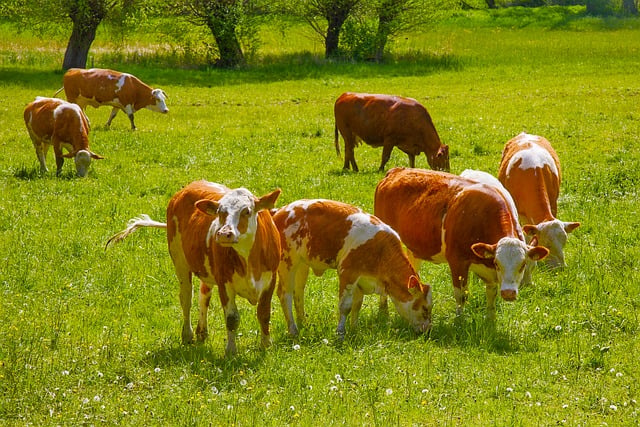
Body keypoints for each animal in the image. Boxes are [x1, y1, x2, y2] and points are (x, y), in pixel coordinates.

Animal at [106, 181, 282, 356]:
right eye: (220, 212)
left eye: (247, 211)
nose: (223, 233)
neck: (248, 258)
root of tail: (189, 186)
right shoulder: (224, 282)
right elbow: (232, 319)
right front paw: (231, 351)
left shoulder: (270, 279)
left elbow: (264, 314)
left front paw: (266, 345)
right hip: (179, 260)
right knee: (186, 299)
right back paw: (188, 335)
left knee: (203, 295)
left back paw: (202, 332)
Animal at [272, 199, 432, 339]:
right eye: (425, 308)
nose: (427, 331)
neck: (380, 250)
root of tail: (280, 211)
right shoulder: (348, 273)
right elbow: (345, 306)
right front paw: (340, 334)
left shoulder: (360, 279)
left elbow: (357, 305)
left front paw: (354, 330)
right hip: (287, 263)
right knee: (285, 294)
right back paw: (293, 330)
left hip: (302, 265)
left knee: (298, 292)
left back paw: (303, 323)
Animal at [374, 168, 549, 320]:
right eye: (498, 263)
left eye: (523, 265)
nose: (508, 293)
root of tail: (397, 171)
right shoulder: (457, 261)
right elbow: (461, 295)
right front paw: (459, 319)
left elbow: (491, 293)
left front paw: (490, 319)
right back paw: (383, 310)